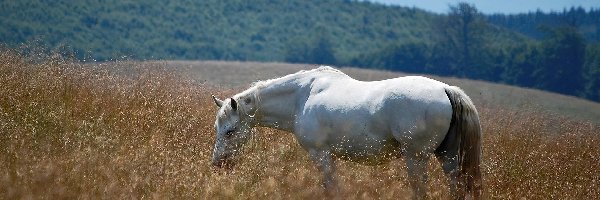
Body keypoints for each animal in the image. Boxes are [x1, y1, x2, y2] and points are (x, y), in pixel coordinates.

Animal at [211, 66, 482, 199]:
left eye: (230, 131)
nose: (218, 165)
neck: (301, 97)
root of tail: (446, 89)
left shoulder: (320, 155)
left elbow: (330, 187)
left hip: (416, 158)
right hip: (448, 157)